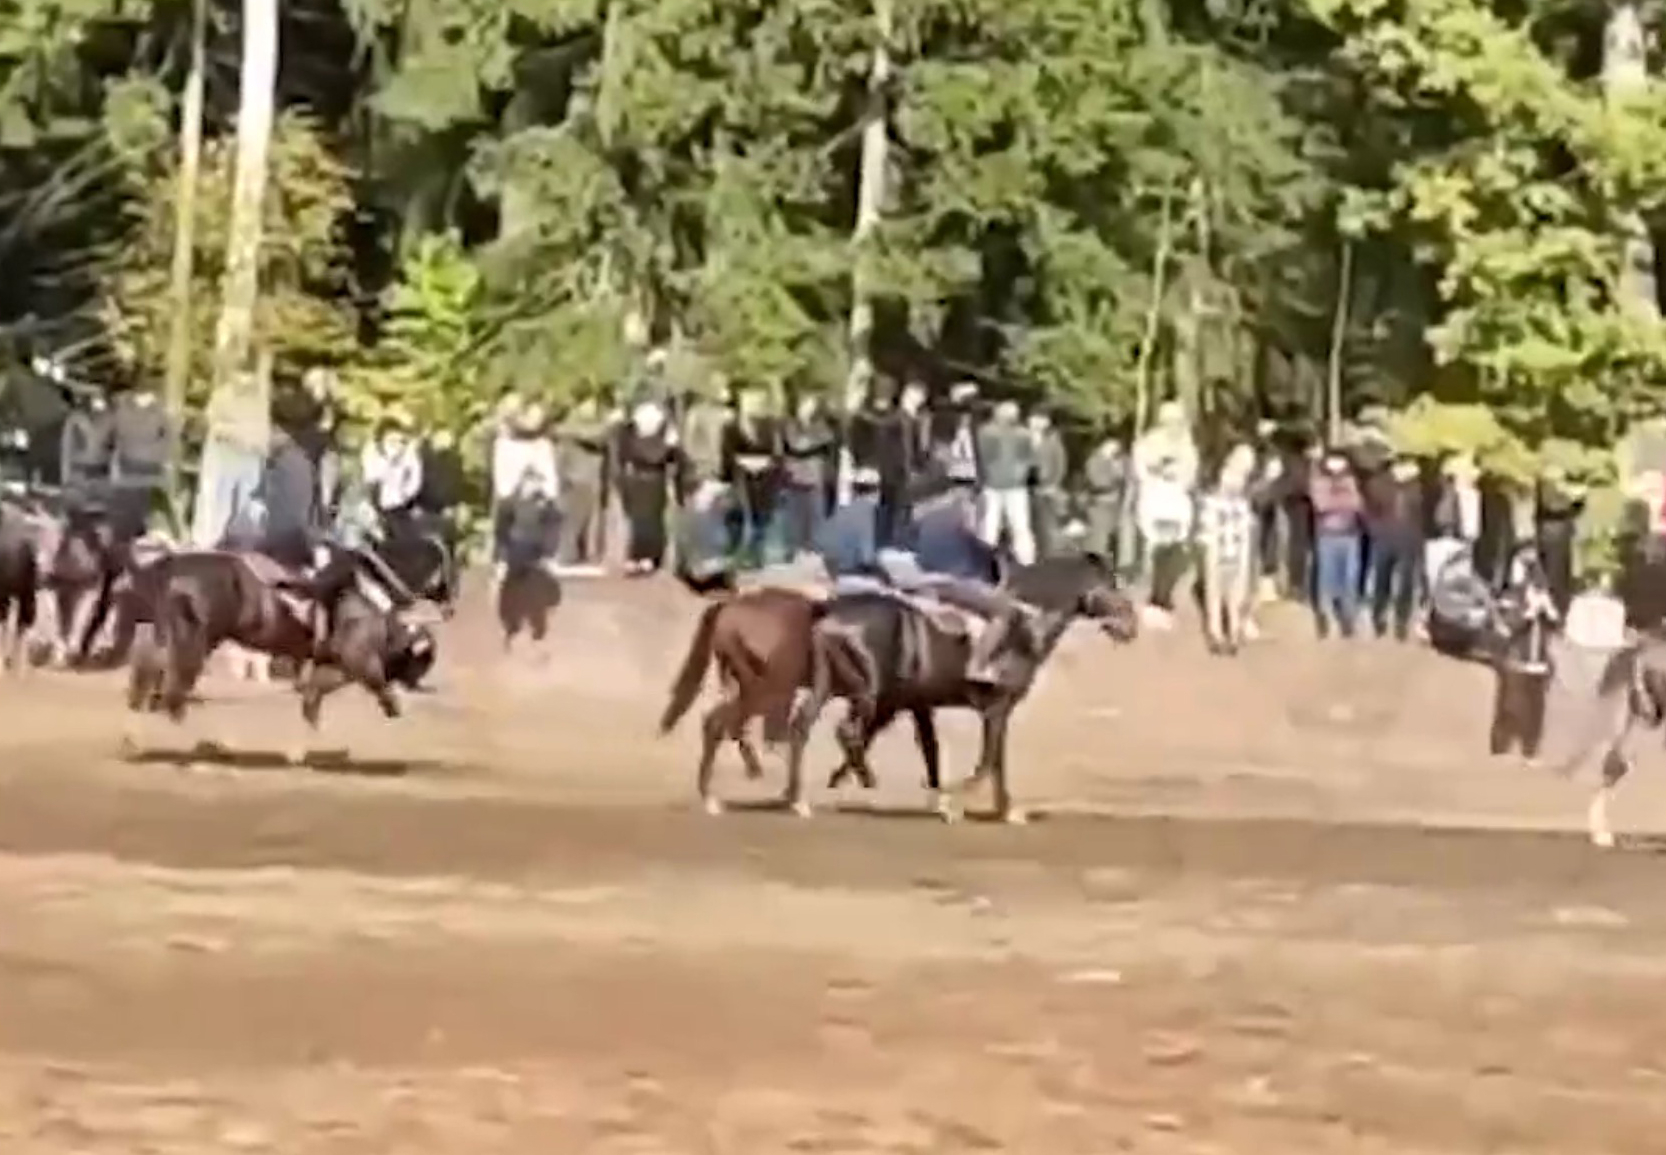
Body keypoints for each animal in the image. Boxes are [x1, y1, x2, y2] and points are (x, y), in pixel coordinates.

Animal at [124, 545, 436, 762]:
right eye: (420, 663)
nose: (418, 684)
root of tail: (174, 566)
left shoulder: (333, 666)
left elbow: (312, 702)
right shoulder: (358, 661)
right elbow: (368, 683)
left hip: (166, 635)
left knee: (146, 679)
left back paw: (137, 739)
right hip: (194, 641)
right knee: (173, 694)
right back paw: (205, 745)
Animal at [657, 585, 825, 814]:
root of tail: (728, 608)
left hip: (747, 686)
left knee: (729, 725)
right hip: (765, 691)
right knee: (719, 723)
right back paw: (713, 797)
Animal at [789, 554, 1138, 823]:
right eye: (1112, 585)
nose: (1131, 625)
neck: (1027, 626)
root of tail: (830, 613)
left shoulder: (910, 704)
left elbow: (941, 751)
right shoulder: (997, 707)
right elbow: (988, 760)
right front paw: (960, 803)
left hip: (830, 687)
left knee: (804, 726)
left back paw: (798, 797)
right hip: (865, 692)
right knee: (844, 731)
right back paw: (853, 782)